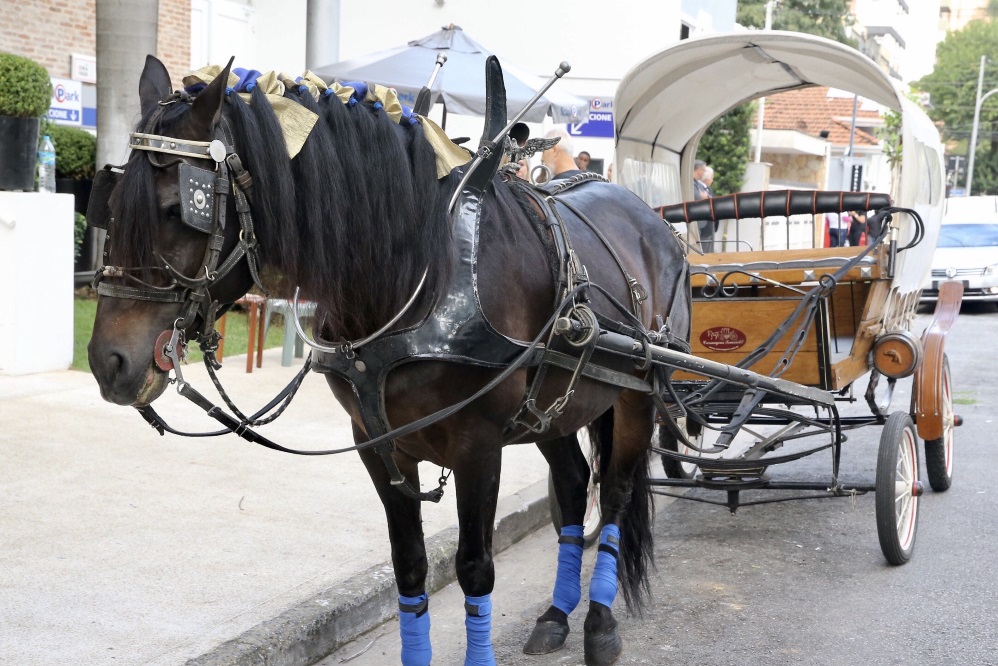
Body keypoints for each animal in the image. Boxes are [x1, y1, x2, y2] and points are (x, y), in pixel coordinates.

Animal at [90, 55, 692, 660]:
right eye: (108, 205)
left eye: (178, 209)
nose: (106, 362)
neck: (427, 270)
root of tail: (652, 219)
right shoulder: (375, 443)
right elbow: (409, 564)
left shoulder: (479, 444)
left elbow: (474, 566)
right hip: (552, 408)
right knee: (571, 486)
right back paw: (556, 615)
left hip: (639, 393)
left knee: (614, 494)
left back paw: (599, 623)